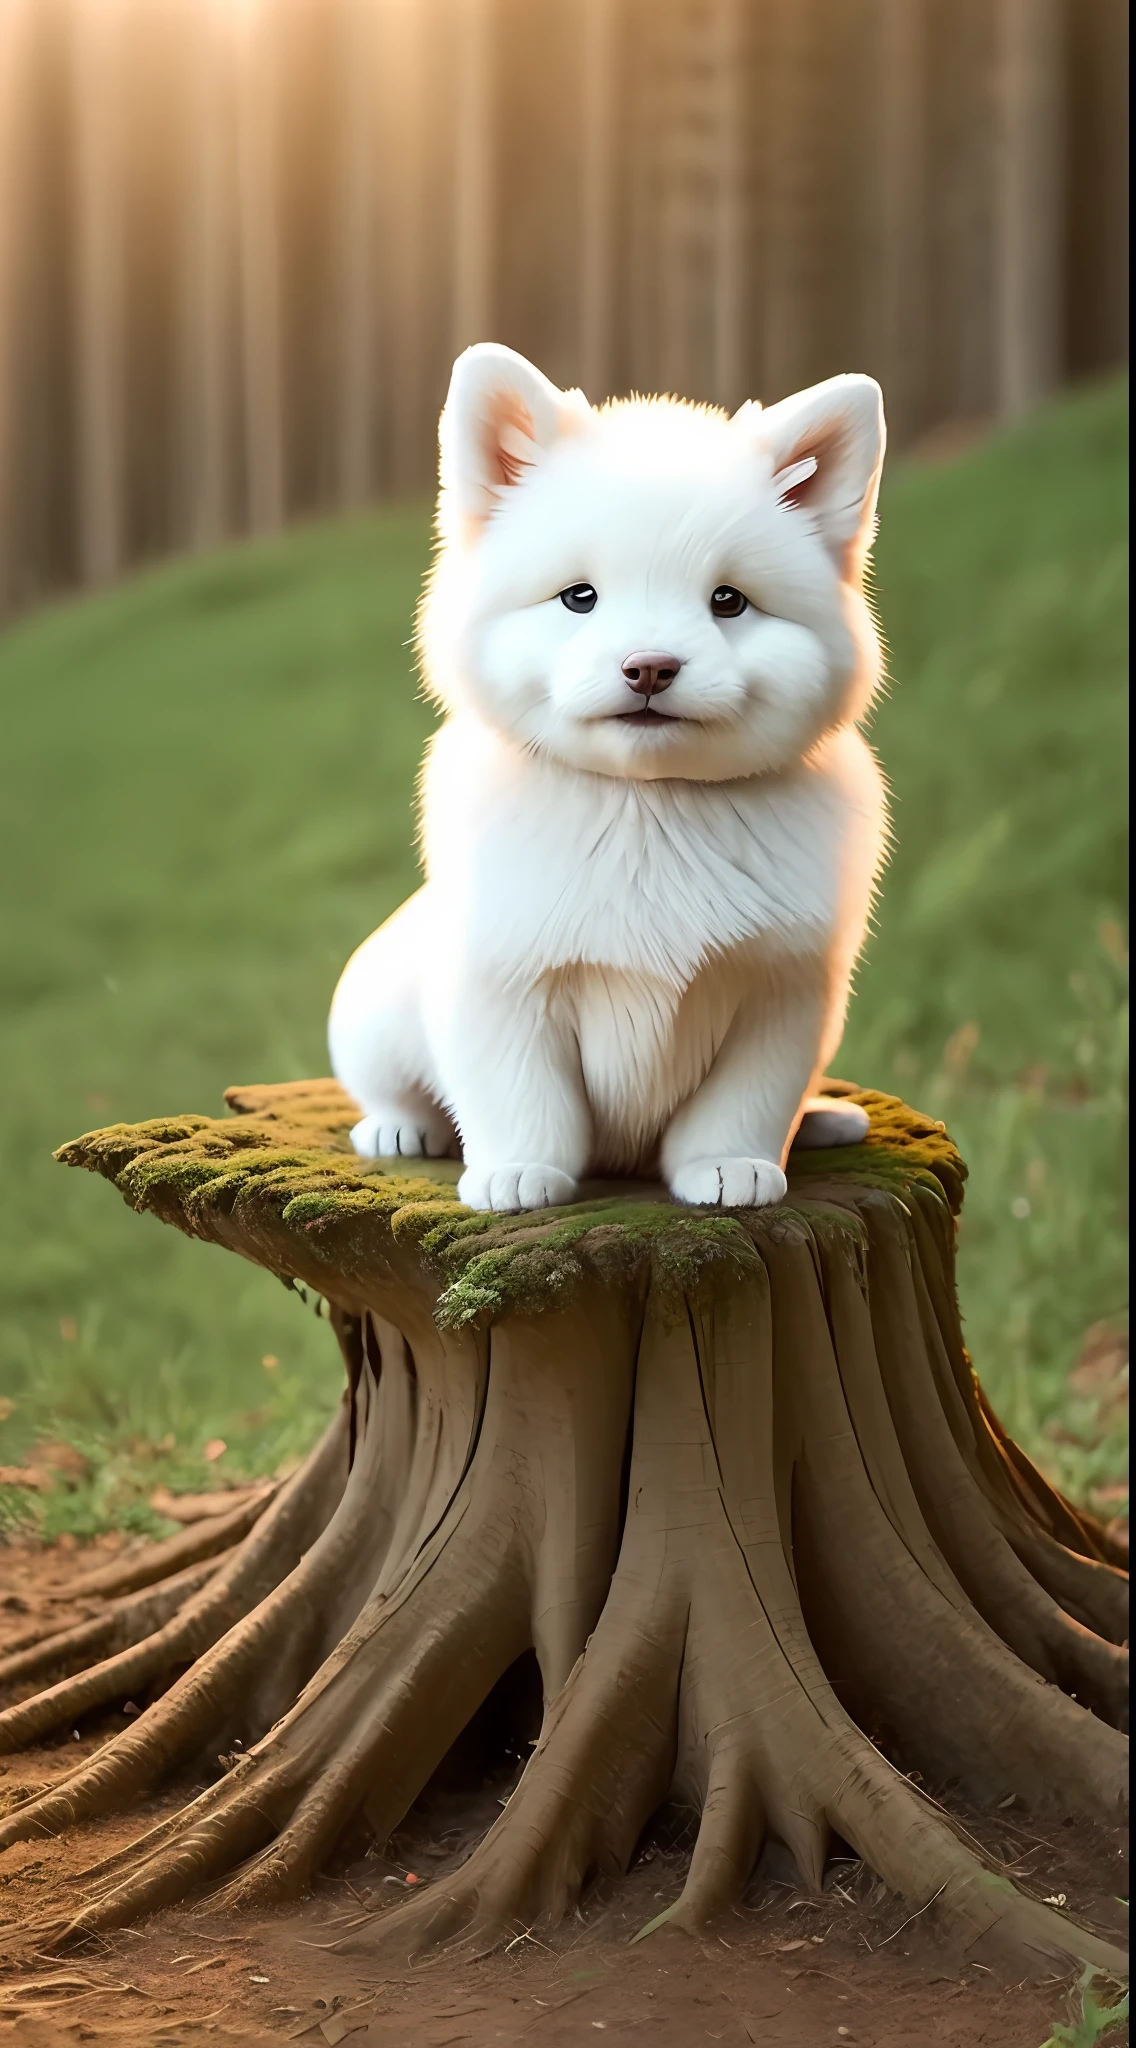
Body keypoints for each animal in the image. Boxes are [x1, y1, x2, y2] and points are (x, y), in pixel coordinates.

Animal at [329, 344, 888, 1204]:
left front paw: (729, 1166)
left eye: (729, 601)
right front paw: (518, 1173)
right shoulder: (503, 987)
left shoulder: (783, 993)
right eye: (580, 597)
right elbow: (526, 1098)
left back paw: (824, 1119)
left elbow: (743, 1102)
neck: (648, 807)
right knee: (389, 1090)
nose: (650, 667)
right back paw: (401, 1130)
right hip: (370, 1010)